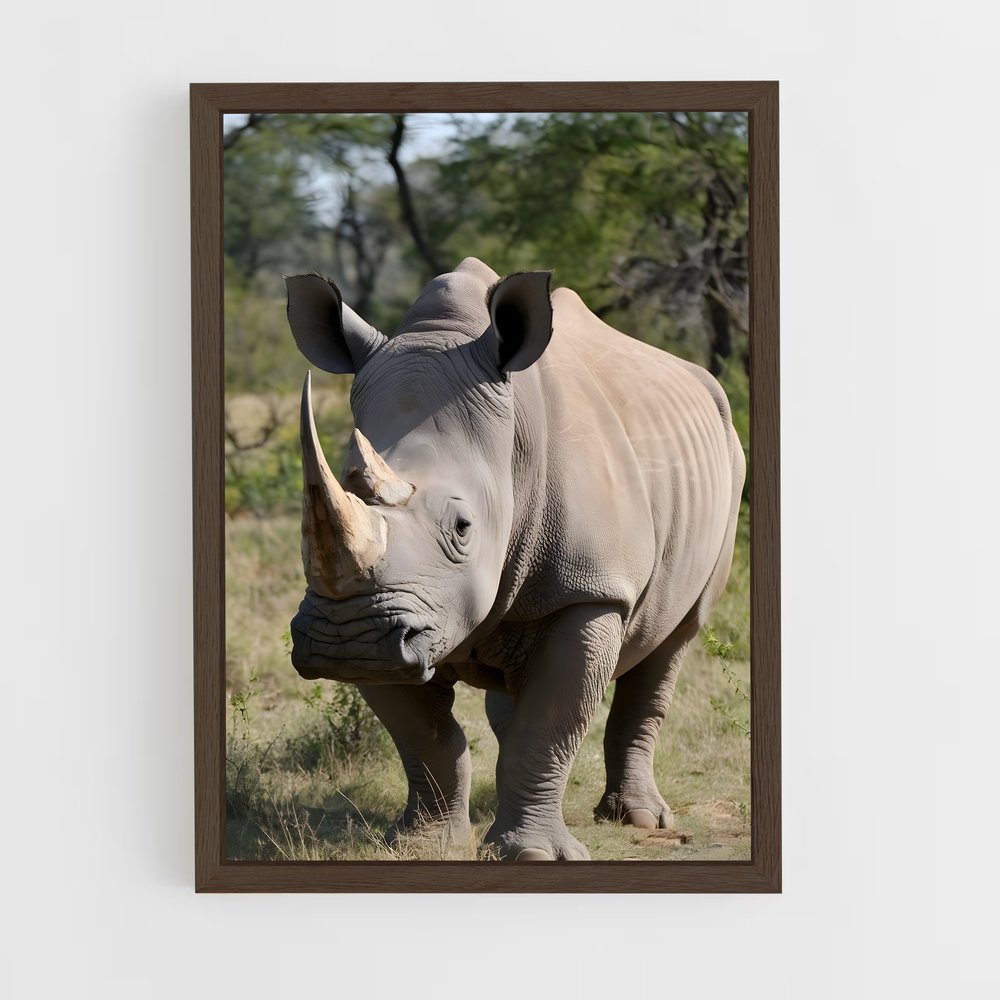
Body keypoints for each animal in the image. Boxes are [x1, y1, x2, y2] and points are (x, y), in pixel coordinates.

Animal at [284, 257, 745, 861]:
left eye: (463, 528)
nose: (348, 639)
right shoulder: (390, 623)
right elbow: (425, 736)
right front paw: (422, 843)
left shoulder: (589, 590)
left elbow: (547, 726)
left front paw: (531, 855)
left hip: (730, 464)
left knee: (674, 639)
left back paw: (640, 820)